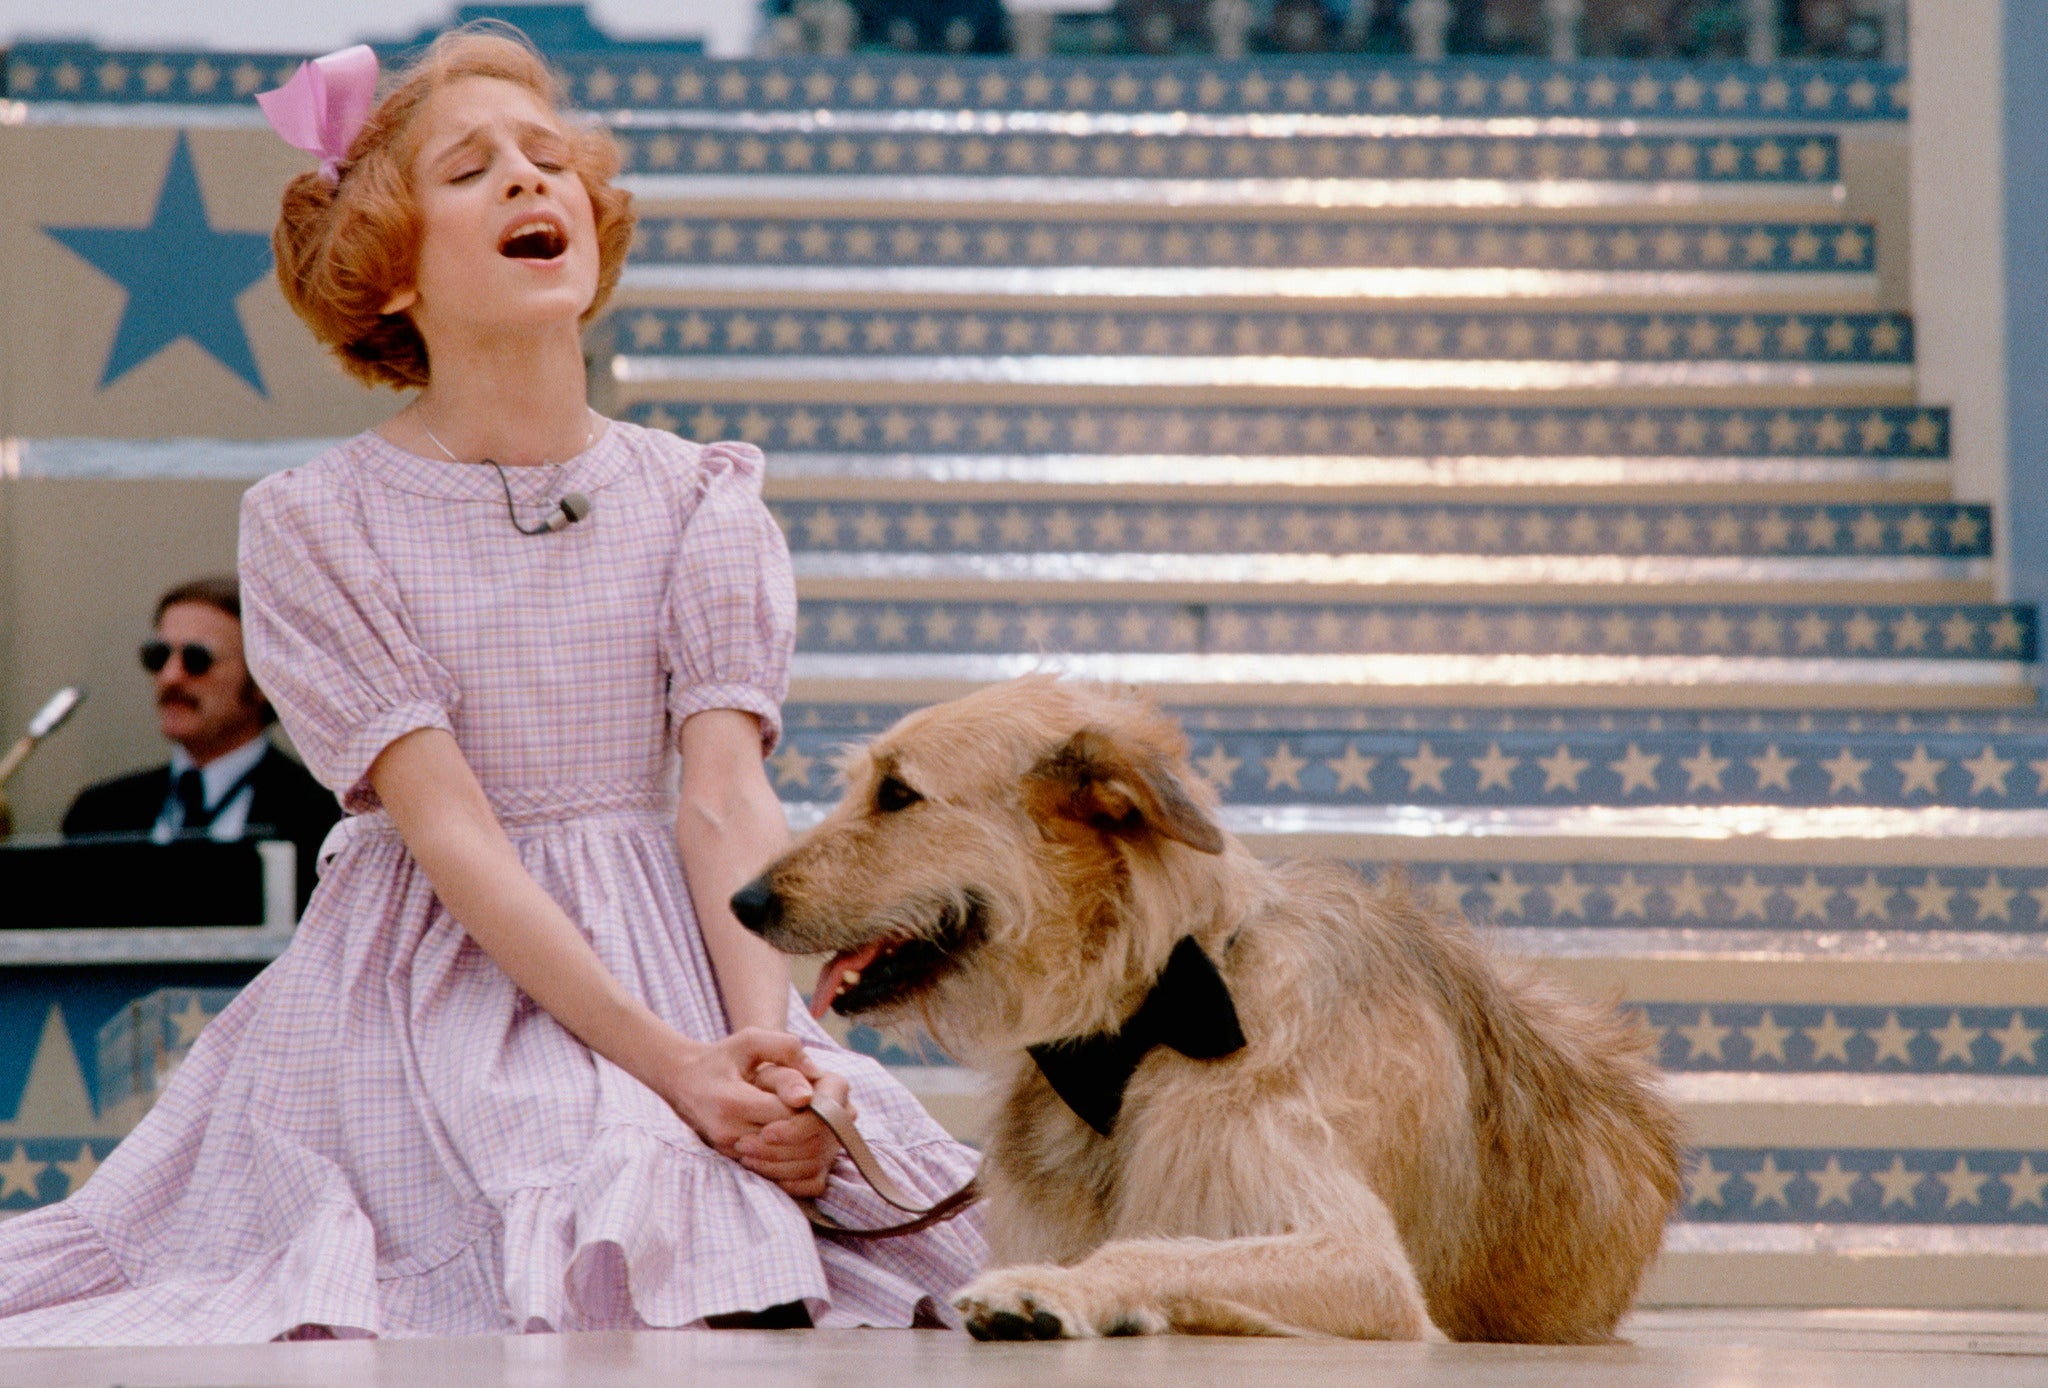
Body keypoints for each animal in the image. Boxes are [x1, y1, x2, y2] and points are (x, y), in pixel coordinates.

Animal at [733, 679, 1679, 1342]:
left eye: (897, 794)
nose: (743, 903)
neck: (1141, 1016)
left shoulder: (1363, 1264)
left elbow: (1156, 1246)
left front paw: (1053, 1292)